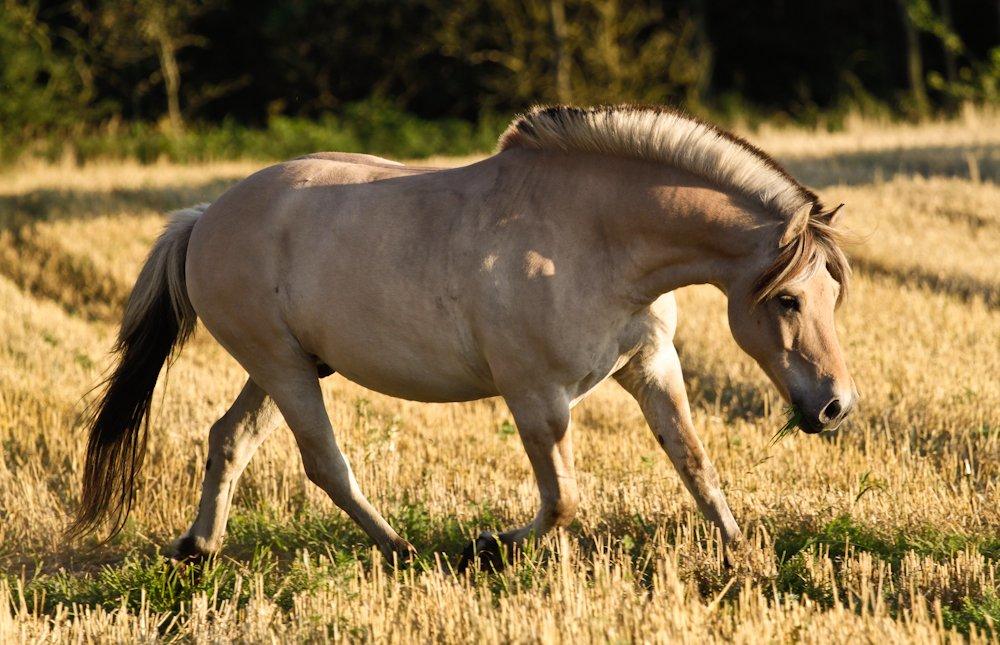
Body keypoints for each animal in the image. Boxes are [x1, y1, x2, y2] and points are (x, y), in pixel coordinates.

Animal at [70, 104, 856, 568]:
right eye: (787, 299)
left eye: (832, 293)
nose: (834, 407)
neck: (592, 234)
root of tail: (204, 218)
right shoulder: (536, 394)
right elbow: (564, 499)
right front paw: (488, 545)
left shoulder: (651, 366)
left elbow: (696, 464)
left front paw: (745, 559)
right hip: (284, 369)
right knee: (325, 462)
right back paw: (401, 548)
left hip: (282, 368)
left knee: (229, 439)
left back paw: (200, 547)